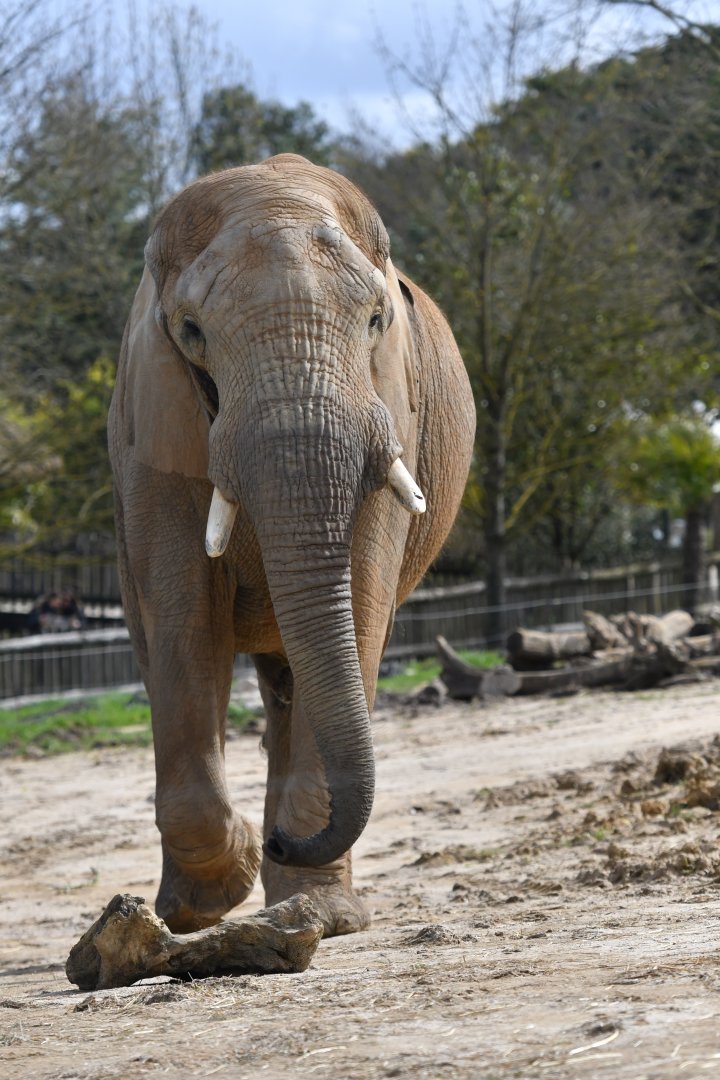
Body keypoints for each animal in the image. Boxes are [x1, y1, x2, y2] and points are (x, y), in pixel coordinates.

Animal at [108, 153, 475, 938]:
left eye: (376, 319)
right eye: (190, 331)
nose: (277, 839)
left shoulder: (392, 403)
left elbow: (360, 603)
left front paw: (322, 913)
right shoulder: (155, 427)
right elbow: (183, 619)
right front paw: (207, 900)